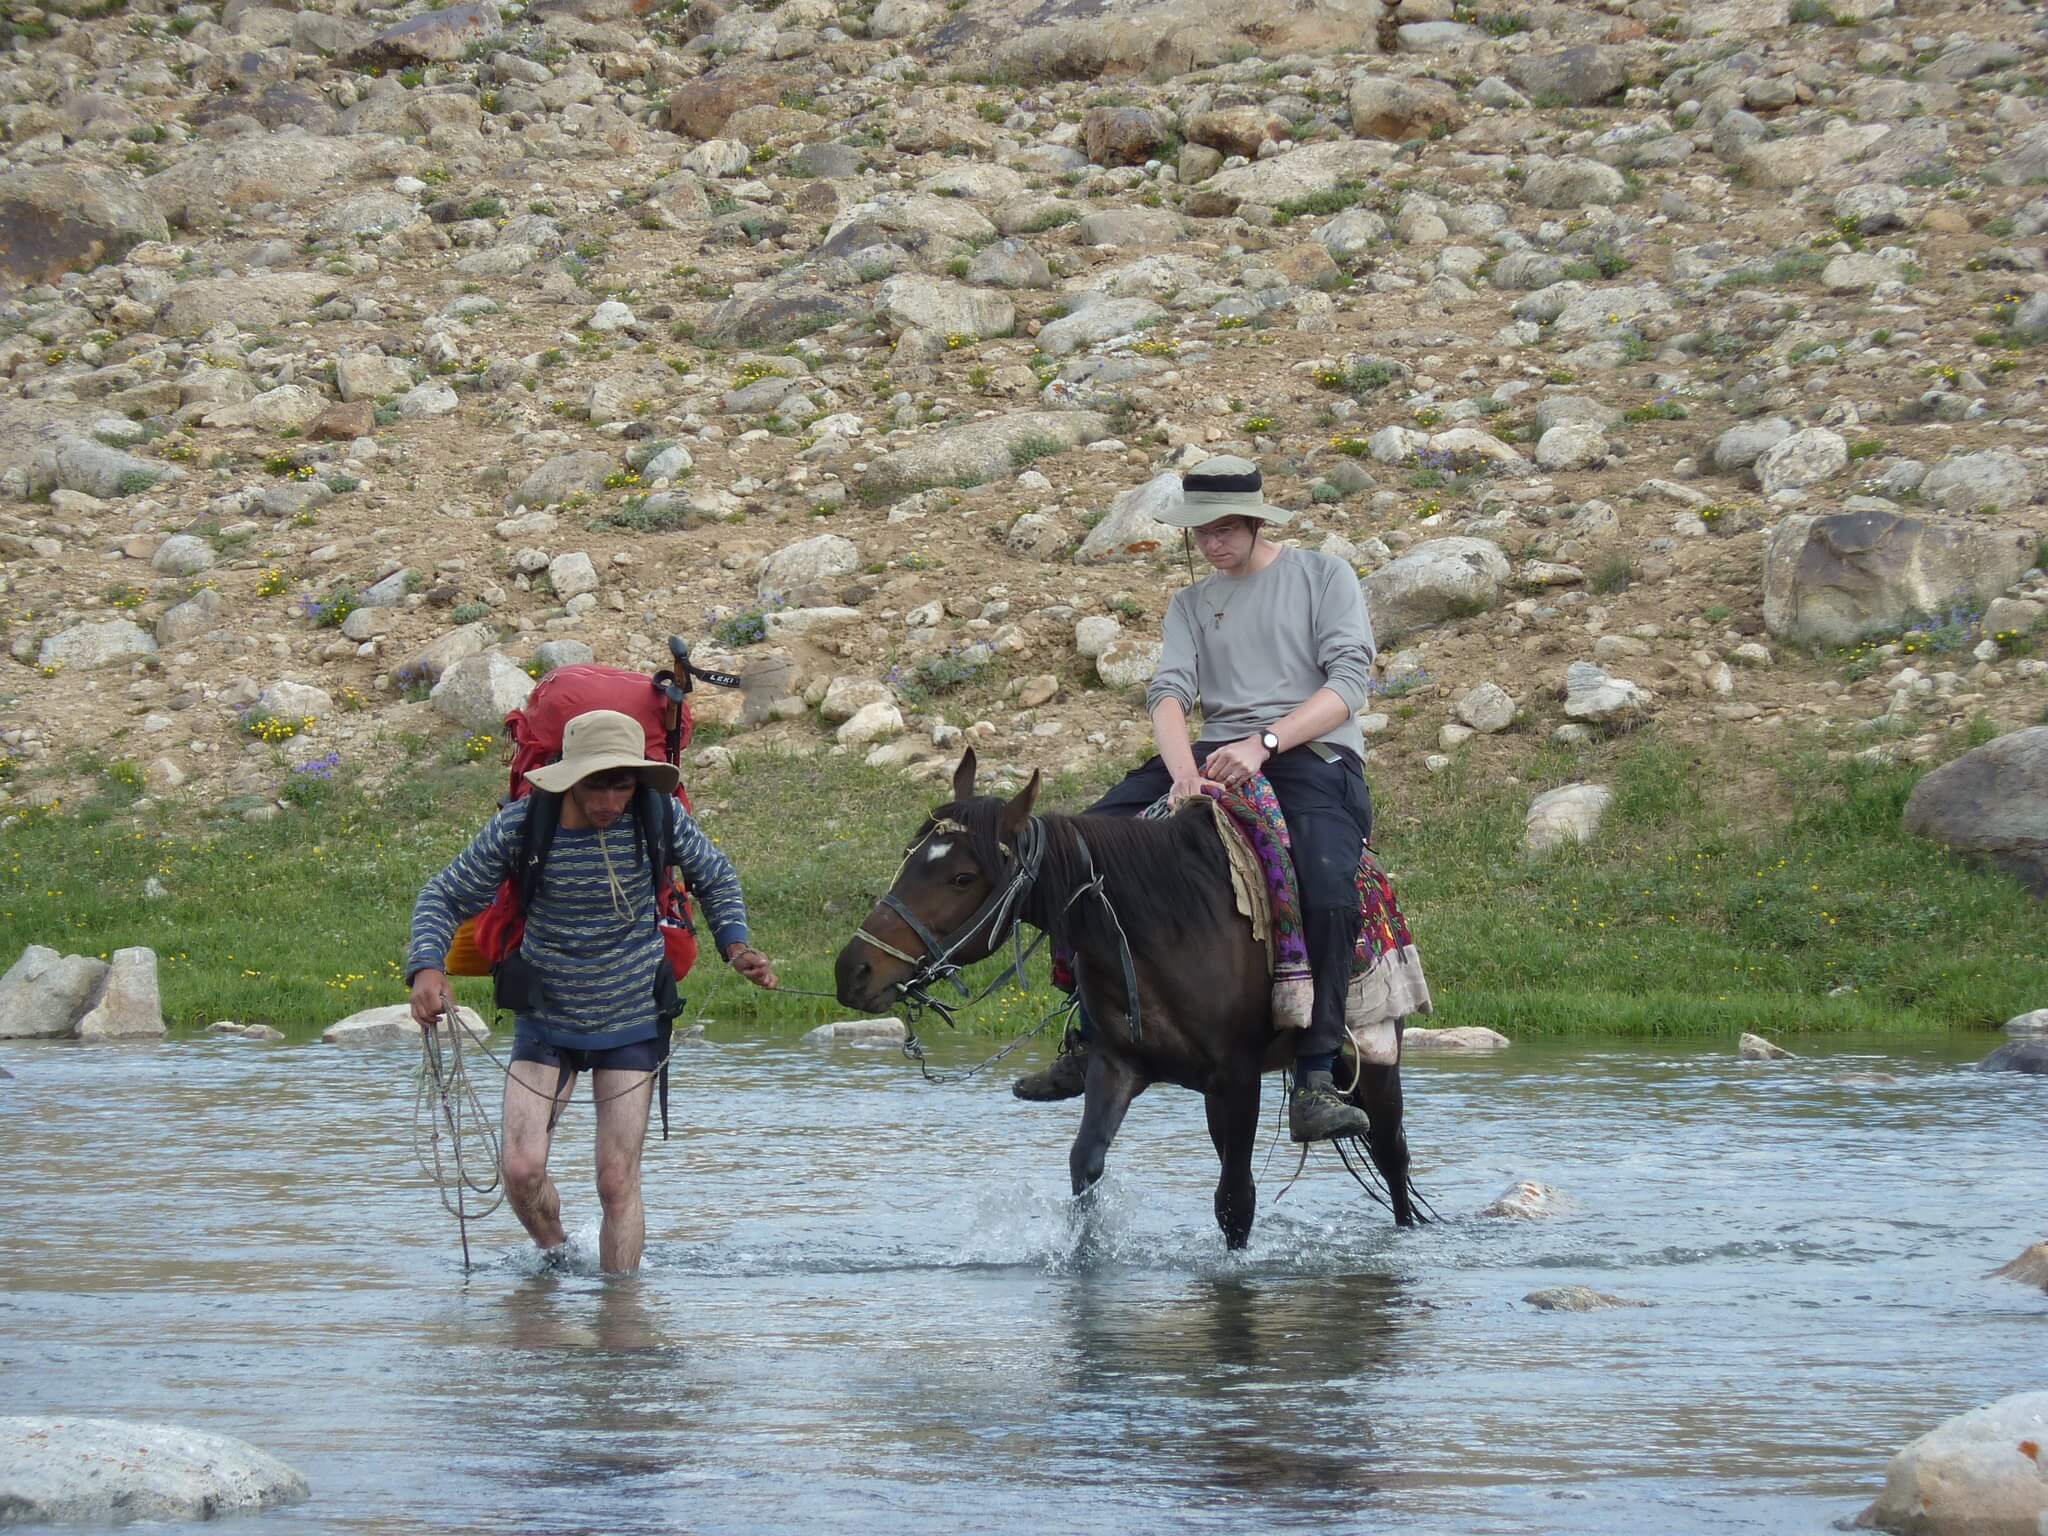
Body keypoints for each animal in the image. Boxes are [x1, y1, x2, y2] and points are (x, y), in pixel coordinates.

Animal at [832, 750, 1420, 1249]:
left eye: (961, 877)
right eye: (908, 857)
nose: (853, 971)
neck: (1167, 925)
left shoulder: (1238, 1078)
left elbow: (1236, 1202)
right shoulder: (1117, 1066)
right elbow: (1085, 1168)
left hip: (1375, 1062)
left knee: (1393, 1159)